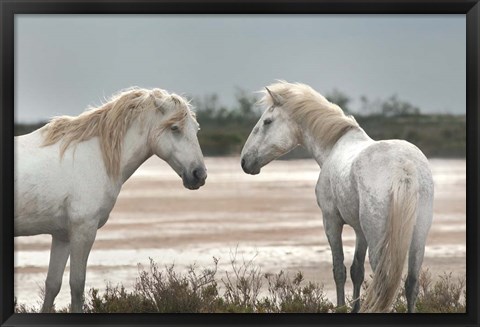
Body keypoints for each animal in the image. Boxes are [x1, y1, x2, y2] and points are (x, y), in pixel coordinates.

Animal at [14, 87, 206, 312]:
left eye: (196, 129)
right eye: (175, 128)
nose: (199, 175)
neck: (94, 157)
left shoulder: (62, 235)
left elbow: (52, 285)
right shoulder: (83, 231)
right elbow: (77, 285)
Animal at [242, 81, 434, 312]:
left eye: (267, 121)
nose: (245, 161)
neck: (334, 146)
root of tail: (404, 167)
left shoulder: (331, 221)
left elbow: (339, 269)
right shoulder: (360, 232)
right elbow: (357, 270)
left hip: (380, 240)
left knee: (383, 283)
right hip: (418, 237)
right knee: (411, 283)